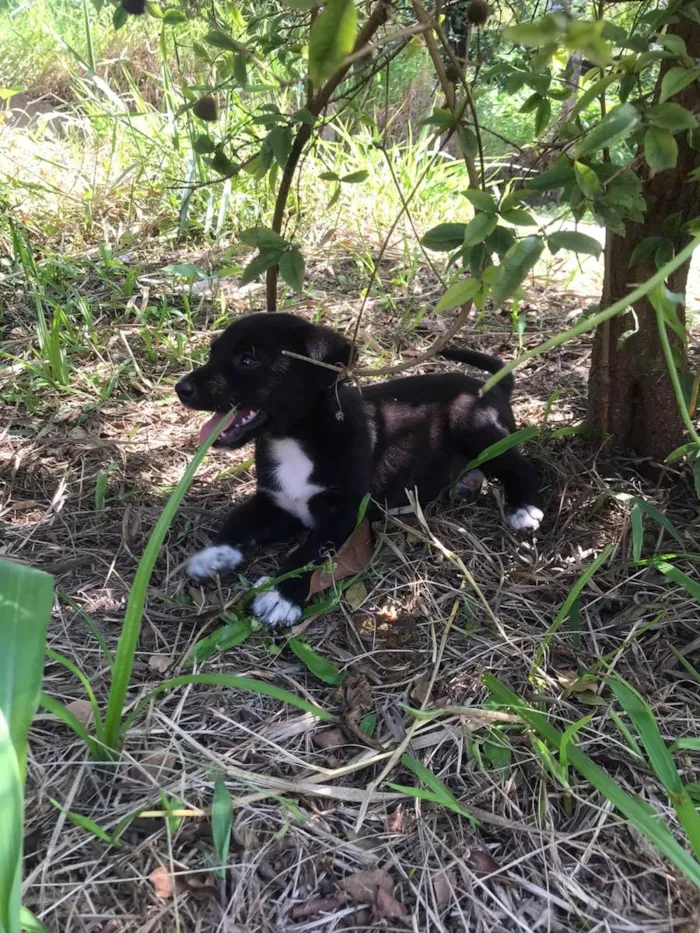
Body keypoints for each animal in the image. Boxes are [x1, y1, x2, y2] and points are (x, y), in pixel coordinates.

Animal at [175, 314, 540, 628]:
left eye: (248, 360)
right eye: (213, 353)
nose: (181, 389)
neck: (296, 441)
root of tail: (492, 388)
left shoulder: (342, 513)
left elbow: (309, 552)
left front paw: (280, 596)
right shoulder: (278, 502)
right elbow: (239, 518)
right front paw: (213, 556)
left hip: (473, 424)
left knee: (520, 466)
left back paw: (524, 507)